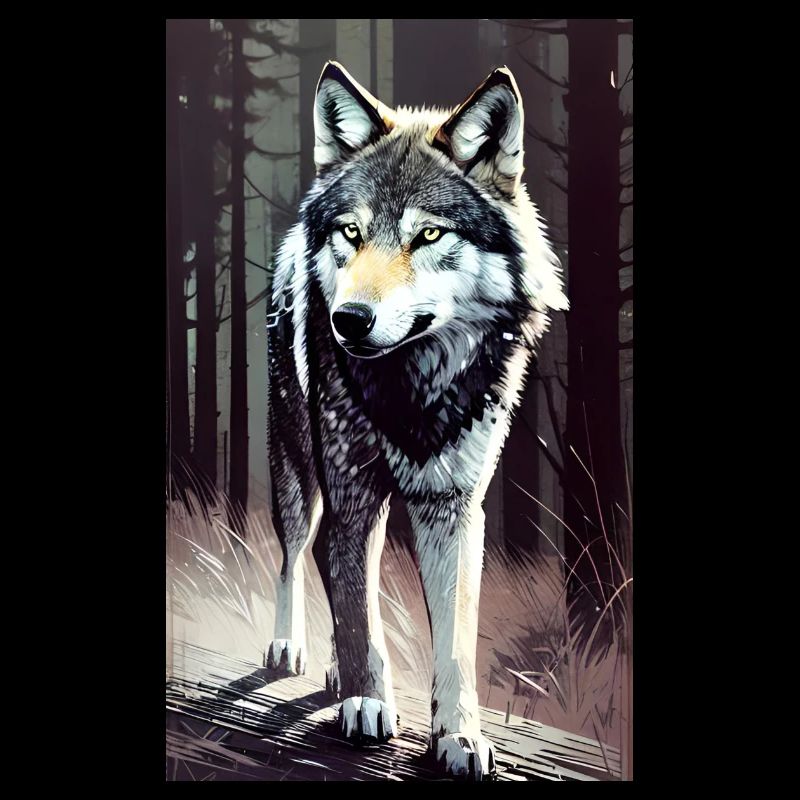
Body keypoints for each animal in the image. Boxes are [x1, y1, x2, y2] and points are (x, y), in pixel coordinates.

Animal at [265, 61, 567, 780]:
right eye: (351, 233)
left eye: (428, 234)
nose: (348, 320)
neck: (412, 388)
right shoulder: (351, 493)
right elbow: (356, 606)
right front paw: (366, 703)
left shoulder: (453, 509)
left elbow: (453, 642)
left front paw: (460, 737)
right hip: (298, 472)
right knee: (300, 555)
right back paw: (293, 650)